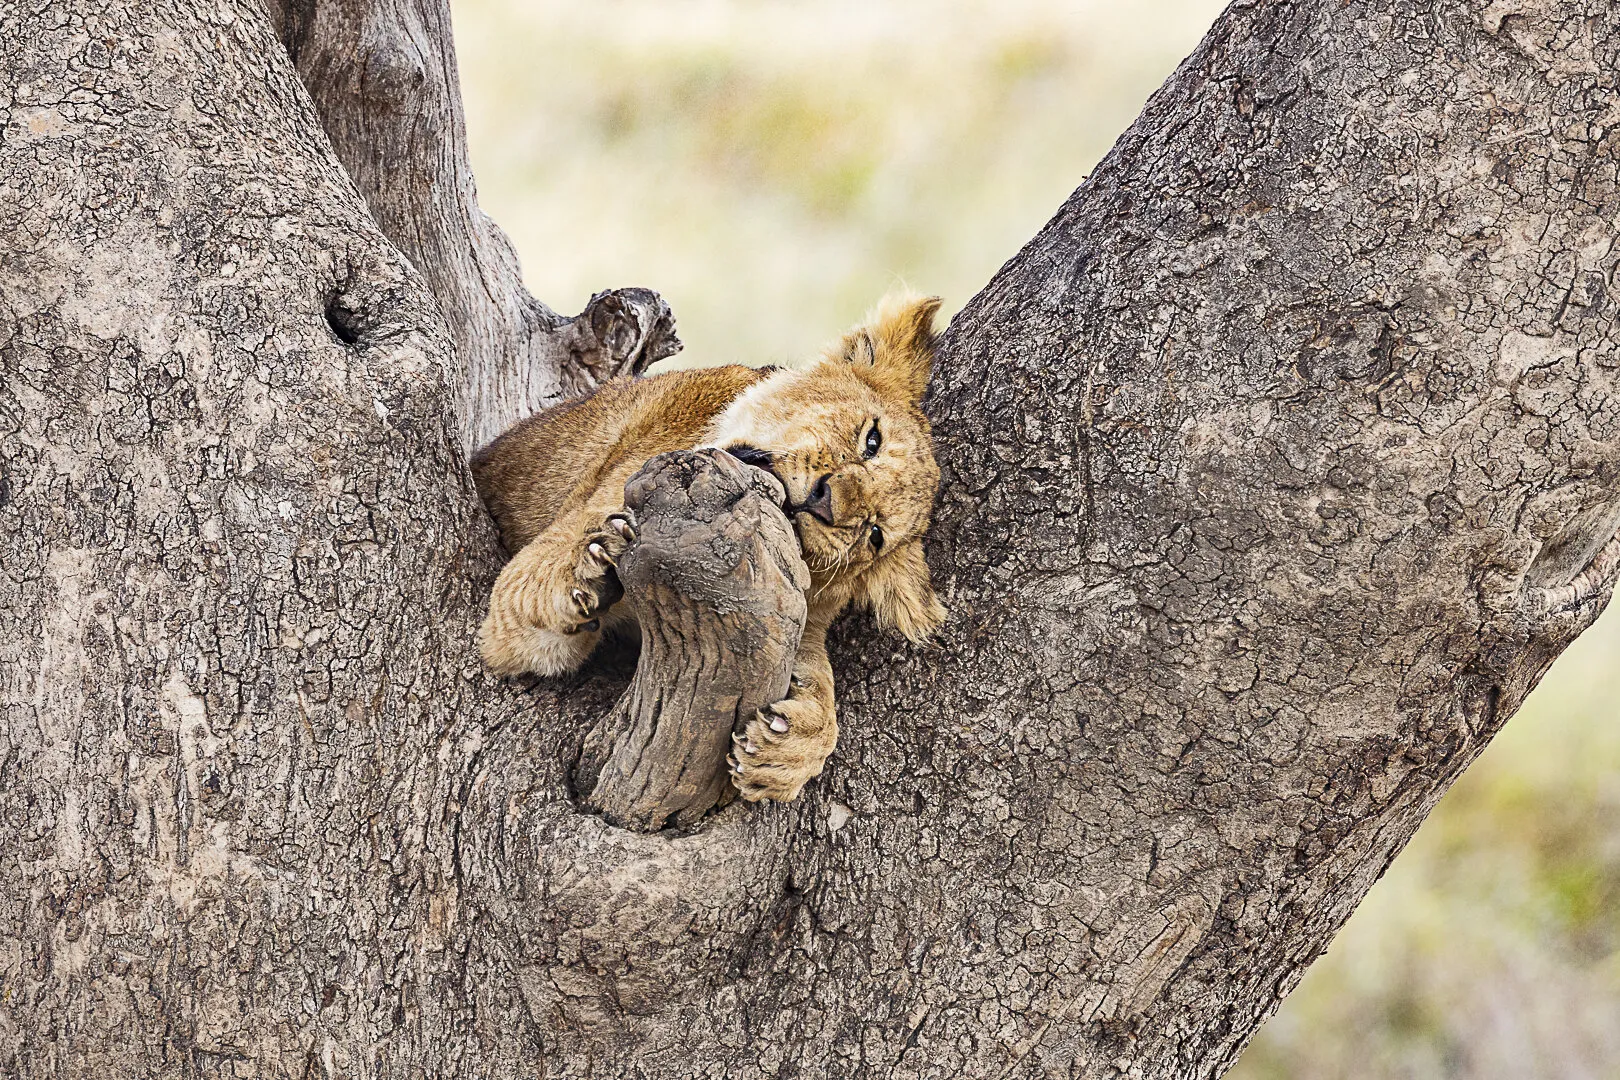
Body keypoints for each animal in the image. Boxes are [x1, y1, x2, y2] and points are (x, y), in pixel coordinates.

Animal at [471, 293, 946, 802]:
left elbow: (816, 680)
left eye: (874, 535)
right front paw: (590, 573)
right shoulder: (508, 616)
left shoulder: (790, 608)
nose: (826, 501)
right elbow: (531, 594)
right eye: (871, 439)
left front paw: (788, 748)